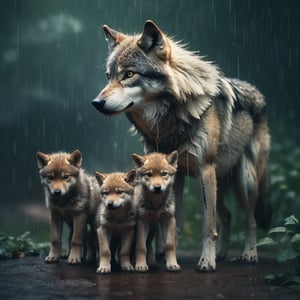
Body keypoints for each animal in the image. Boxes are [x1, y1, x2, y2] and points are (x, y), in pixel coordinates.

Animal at [92, 19, 272, 272]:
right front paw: (159, 257)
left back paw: (248, 254)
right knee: (227, 216)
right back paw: (223, 253)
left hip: (244, 181)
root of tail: (259, 96)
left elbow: (208, 226)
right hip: (218, 183)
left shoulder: (204, 170)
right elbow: (168, 224)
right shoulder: (171, 177)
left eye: (129, 74)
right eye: (108, 76)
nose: (96, 103)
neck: (169, 122)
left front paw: (206, 261)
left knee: (250, 219)